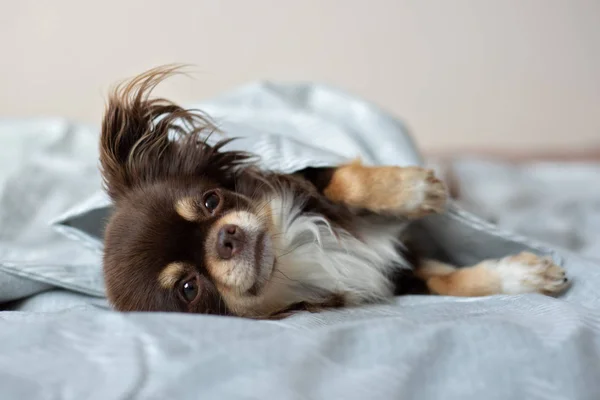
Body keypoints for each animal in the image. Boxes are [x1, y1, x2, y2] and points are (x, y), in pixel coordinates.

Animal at [101, 67, 568, 320]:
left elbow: (341, 180)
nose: (226, 237)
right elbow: (446, 282)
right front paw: (525, 276)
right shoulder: (397, 274)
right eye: (188, 288)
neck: (292, 254)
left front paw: (414, 189)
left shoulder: (309, 178)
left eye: (211, 201)